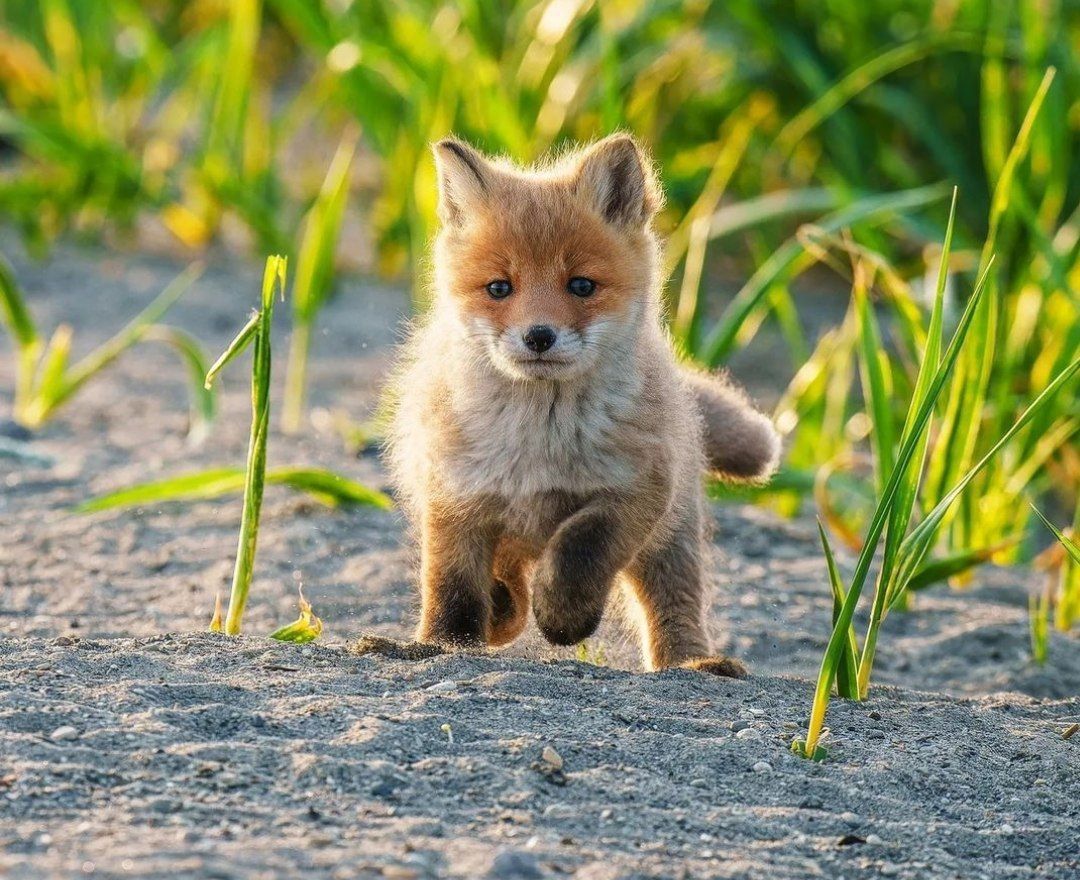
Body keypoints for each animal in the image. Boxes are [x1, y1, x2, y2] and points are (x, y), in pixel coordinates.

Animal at [386, 136, 777, 673]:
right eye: (499, 288)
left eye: (582, 285)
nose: (538, 336)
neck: (539, 441)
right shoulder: (454, 494)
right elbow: (453, 587)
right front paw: (443, 645)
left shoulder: (636, 490)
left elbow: (580, 548)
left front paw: (565, 616)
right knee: (504, 580)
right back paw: (502, 610)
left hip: (671, 539)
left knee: (674, 605)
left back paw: (690, 663)